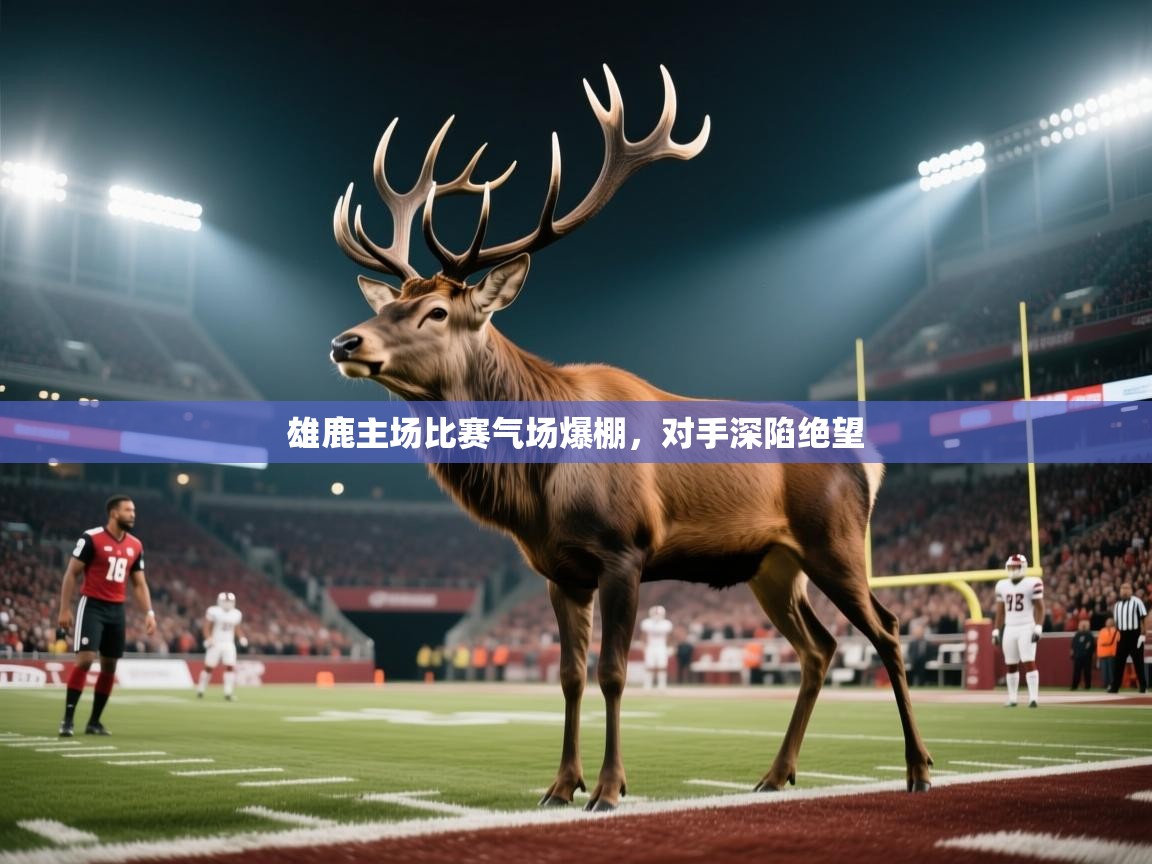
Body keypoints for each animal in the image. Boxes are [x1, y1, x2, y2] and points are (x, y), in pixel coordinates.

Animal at [329, 65, 933, 810]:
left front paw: (610, 788)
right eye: (396, 302)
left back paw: (917, 769)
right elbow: (568, 675)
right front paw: (560, 784)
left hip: (836, 541)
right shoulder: (559, 570)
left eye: (438, 311)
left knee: (887, 630)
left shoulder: (625, 549)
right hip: (772, 565)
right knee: (818, 649)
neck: (538, 484)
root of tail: (870, 462)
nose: (346, 341)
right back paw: (775, 772)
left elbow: (614, 671)